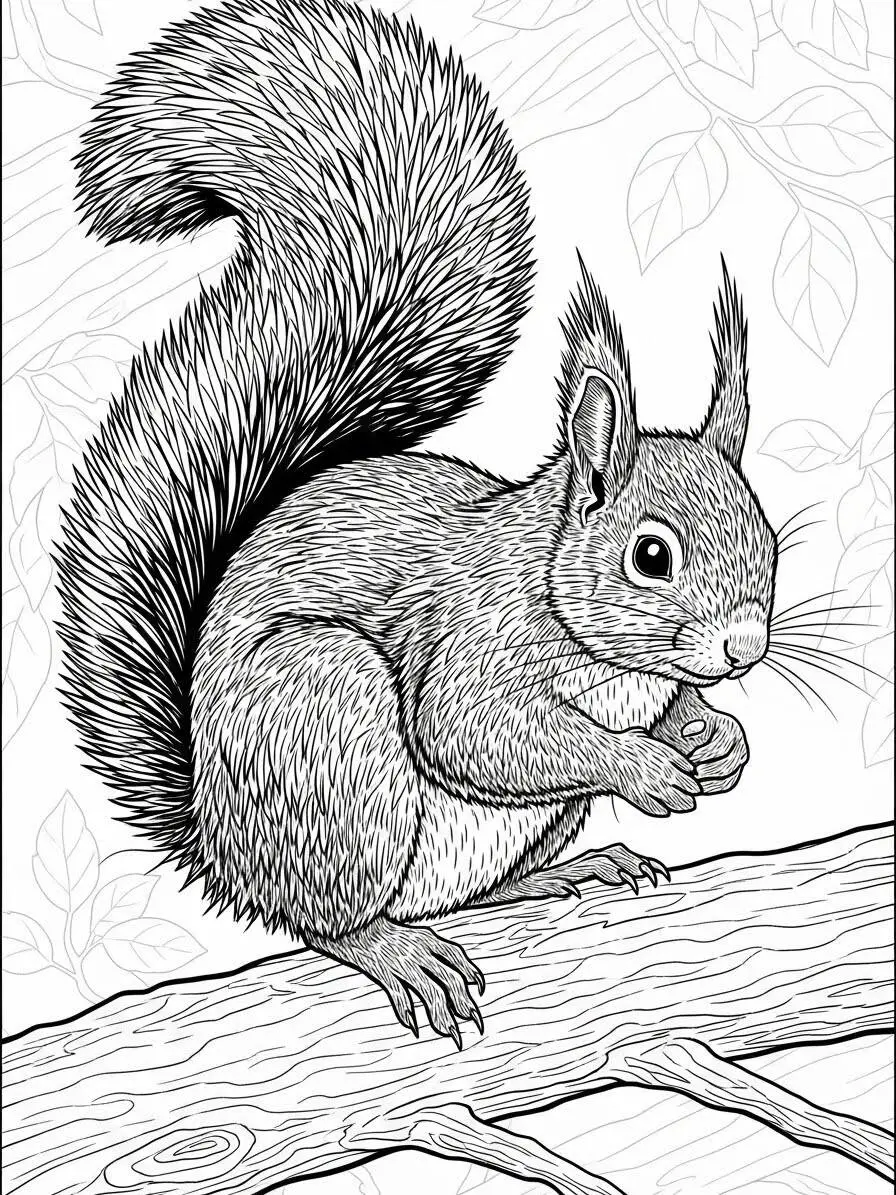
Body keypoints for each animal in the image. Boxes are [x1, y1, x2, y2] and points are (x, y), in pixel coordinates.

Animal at [57, 0, 776, 1046]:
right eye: (651, 555)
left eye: (769, 540)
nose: (743, 647)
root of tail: (221, 844)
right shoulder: (473, 642)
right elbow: (471, 729)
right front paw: (642, 764)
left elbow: (670, 711)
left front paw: (714, 736)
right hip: (331, 722)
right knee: (328, 918)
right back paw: (396, 949)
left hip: (511, 823)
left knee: (476, 890)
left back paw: (573, 869)